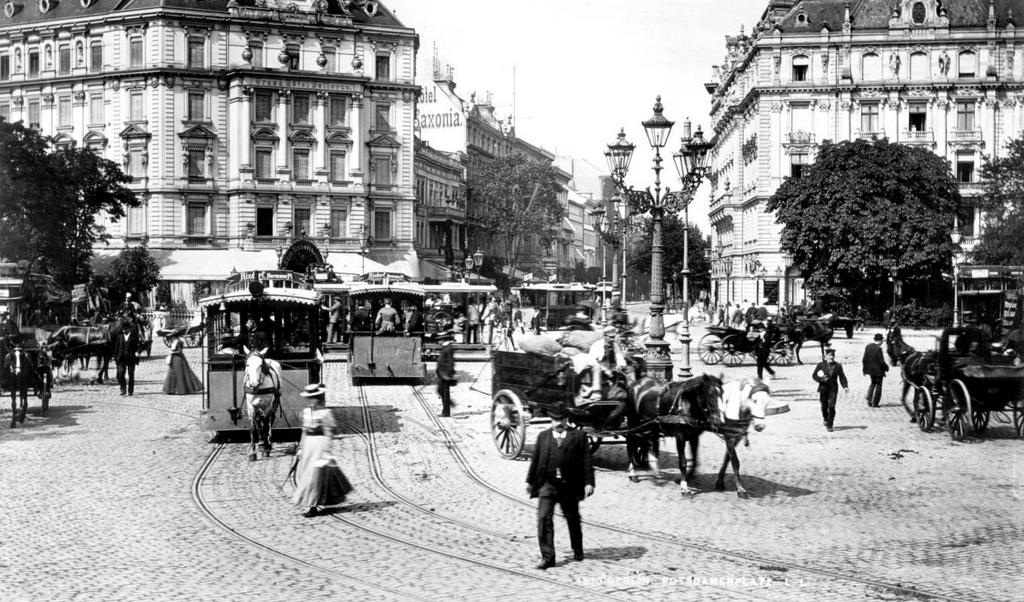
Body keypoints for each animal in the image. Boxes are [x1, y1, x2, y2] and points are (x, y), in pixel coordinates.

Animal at [622, 376, 770, 497]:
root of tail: (636, 382)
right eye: (754, 400)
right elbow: (684, 462)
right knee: (630, 445)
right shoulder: (681, 436)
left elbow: (715, 459)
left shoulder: (697, 435)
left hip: (650, 426)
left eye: (767, 401)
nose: (760, 426)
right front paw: (684, 488)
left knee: (649, 443)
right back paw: (633, 473)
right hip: (633, 422)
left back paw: (654, 471)